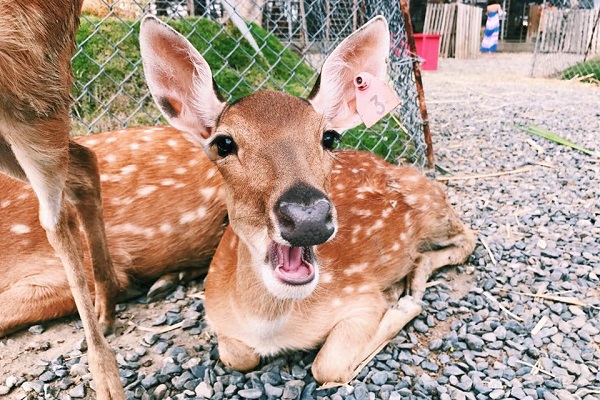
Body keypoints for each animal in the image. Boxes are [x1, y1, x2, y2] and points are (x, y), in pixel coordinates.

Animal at [138, 15, 476, 382]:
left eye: (329, 137)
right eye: (223, 143)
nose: (308, 217)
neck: (267, 326)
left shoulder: (360, 296)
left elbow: (327, 365)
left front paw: (400, 301)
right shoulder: (218, 313)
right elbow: (235, 355)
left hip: (430, 205)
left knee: (468, 237)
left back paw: (414, 277)